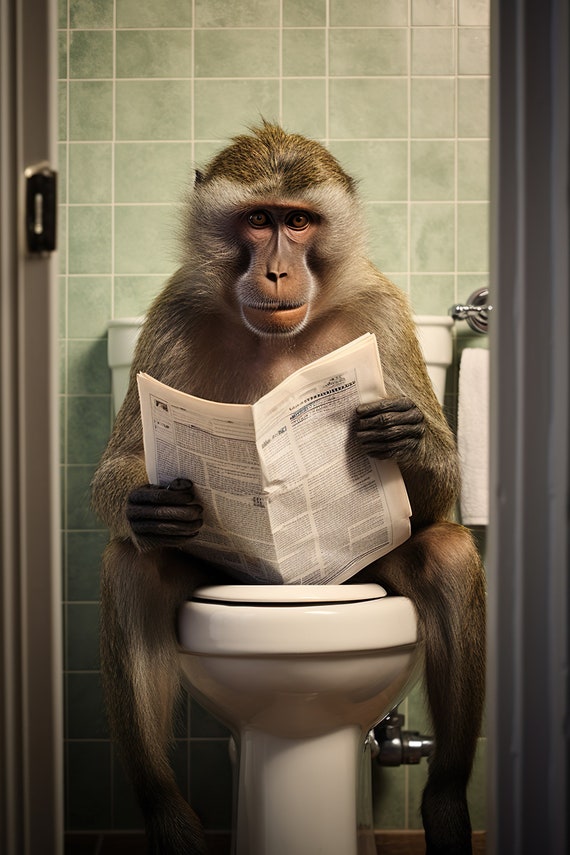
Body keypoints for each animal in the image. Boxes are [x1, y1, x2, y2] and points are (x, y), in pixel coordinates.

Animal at [91, 122, 486, 855]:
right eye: (258, 219)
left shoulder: (382, 309)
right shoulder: (174, 307)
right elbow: (121, 465)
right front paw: (152, 504)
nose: (276, 270)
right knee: (134, 567)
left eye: (298, 221)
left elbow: (437, 495)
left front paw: (404, 436)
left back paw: (447, 803)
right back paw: (166, 813)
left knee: (444, 554)